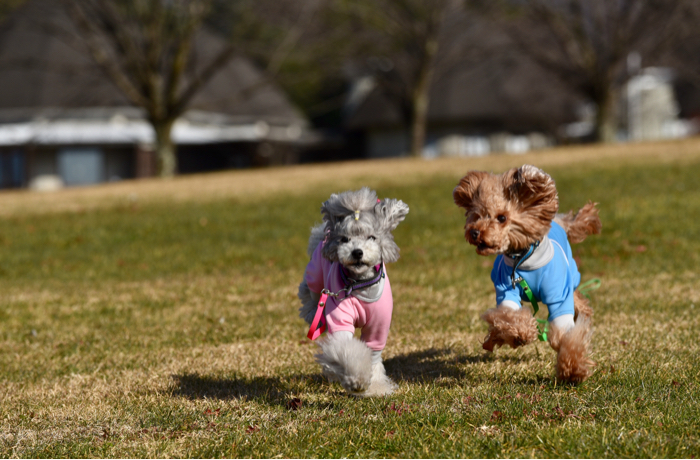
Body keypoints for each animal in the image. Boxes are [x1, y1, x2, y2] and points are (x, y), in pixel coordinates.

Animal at [296, 187, 408, 396]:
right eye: (344, 239)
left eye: (372, 237)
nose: (357, 252)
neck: (359, 285)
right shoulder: (339, 318)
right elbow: (344, 348)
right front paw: (356, 381)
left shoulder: (378, 325)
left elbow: (372, 354)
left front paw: (376, 387)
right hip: (314, 275)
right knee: (310, 293)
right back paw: (313, 313)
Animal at [454, 164, 600, 382]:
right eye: (476, 215)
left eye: (502, 218)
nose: (475, 232)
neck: (523, 259)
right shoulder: (506, 289)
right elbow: (507, 316)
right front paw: (520, 334)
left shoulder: (559, 295)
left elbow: (565, 336)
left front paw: (572, 370)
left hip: (570, 275)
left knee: (577, 296)